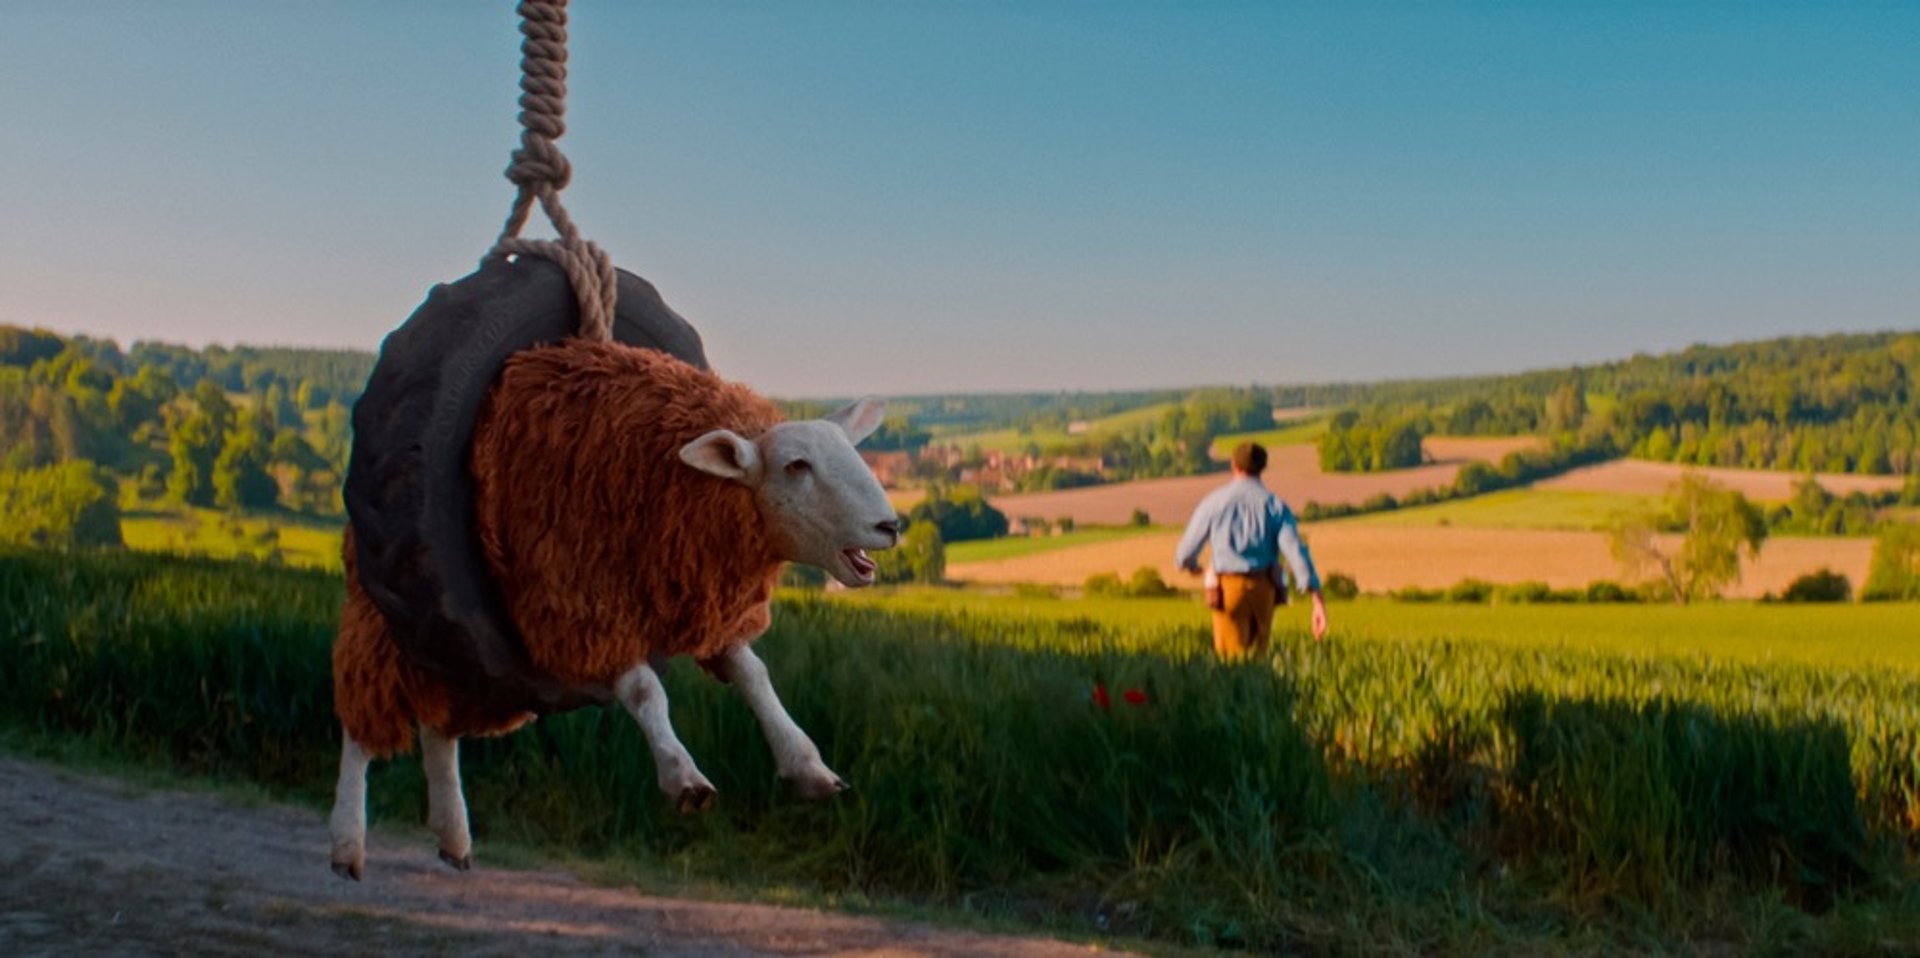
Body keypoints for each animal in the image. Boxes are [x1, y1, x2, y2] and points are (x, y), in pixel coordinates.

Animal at [328, 339, 900, 879]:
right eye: (796, 465)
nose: (891, 526)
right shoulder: (586, 606)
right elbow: (647, 691)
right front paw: (683, 777)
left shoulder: (701, 607)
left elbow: (756, 676)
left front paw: (808, 767)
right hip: (388, 624)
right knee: (361, 723)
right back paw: (347, 843)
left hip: (463, 659)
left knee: (436, 725)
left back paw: (452, 834)